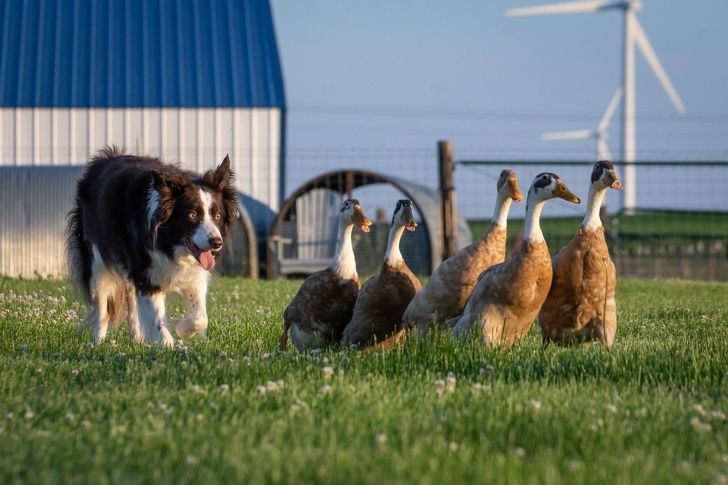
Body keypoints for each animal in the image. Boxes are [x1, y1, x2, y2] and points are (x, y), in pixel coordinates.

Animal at [67, 147, 236, 344]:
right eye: (193, 215)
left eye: (217, 215)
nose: (217, 243)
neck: (170, 244)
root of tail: (105, 157)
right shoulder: (146, 272)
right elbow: (156, 319)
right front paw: (168, 343)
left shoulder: (194, 274)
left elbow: (200, 317)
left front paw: (181, 329)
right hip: (97, 257)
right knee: (103, 304)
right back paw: (98, 342)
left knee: (131, 297)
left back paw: (137, 338)